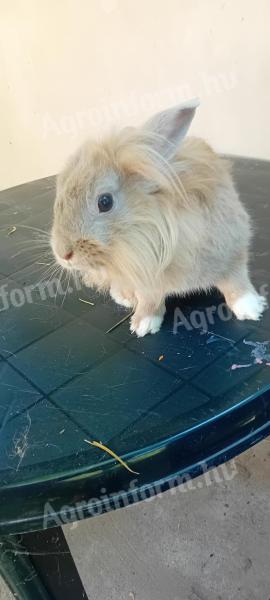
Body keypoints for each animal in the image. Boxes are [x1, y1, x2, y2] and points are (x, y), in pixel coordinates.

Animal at [50, 96, 266, 336]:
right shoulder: (146, 281)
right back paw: (125, 297)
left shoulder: (233, 254)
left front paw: (251, 309)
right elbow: (149, 301)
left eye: (105, 202)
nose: (62, 254)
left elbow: (237, 282)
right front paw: (142, 324)